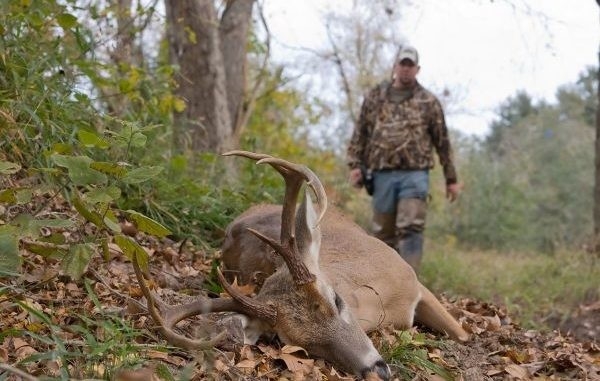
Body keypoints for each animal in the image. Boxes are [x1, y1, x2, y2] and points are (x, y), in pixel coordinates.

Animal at [131, 151, 468, 380]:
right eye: (303, 346)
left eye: (336, 300)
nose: (376, 370)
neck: (386, 305)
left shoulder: (415, 281)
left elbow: (462, 335)